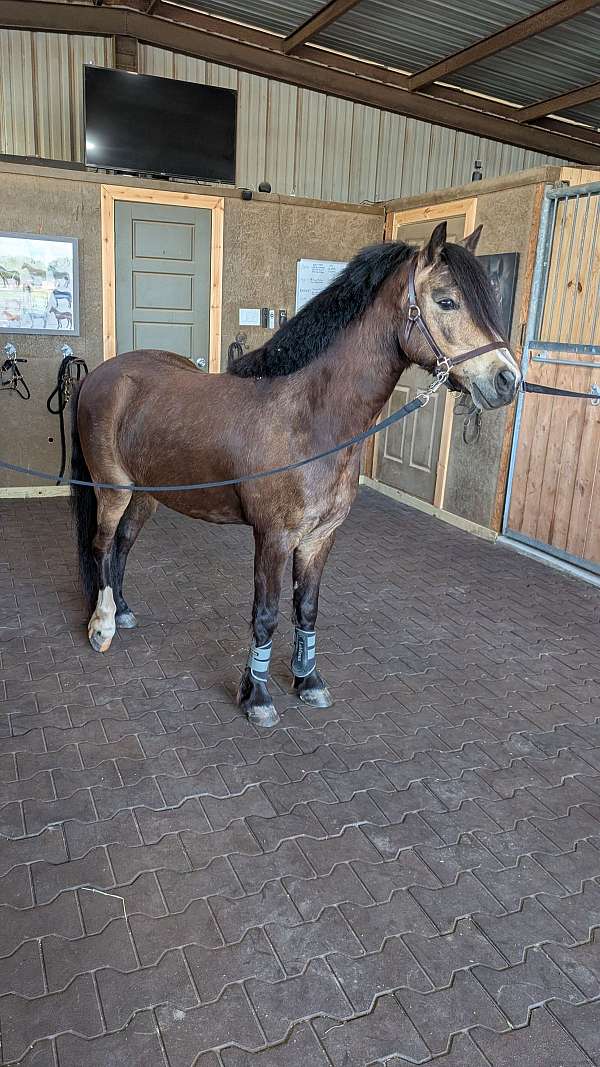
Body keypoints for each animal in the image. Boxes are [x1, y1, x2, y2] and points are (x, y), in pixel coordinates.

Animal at [71, 222, 520, 727]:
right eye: (446, 301)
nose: (507, 380)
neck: (309, 419)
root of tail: (100, 375)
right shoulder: (274, 537)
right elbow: (266, 613)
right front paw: (258, 697)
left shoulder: (320, 537)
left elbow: (306, 608)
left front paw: (309, 681)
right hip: (112, 488)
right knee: (101, 544)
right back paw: (101, 625)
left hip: (148, 493)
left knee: (123, 544)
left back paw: (122, 611)